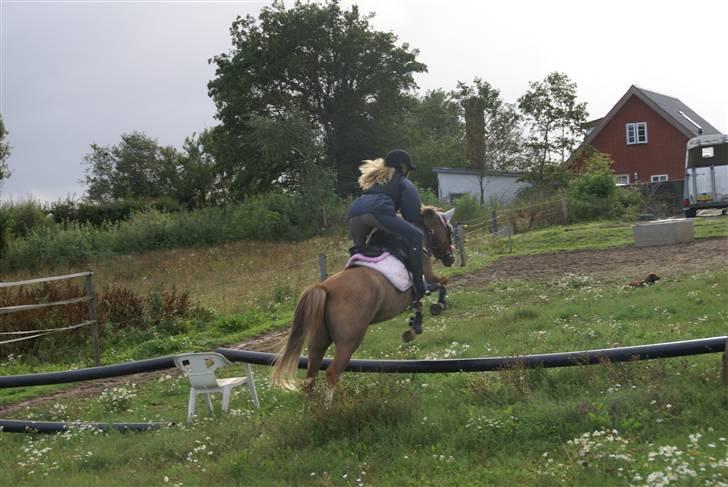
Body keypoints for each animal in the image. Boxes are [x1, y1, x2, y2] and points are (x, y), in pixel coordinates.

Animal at [272, 206, 456, 400]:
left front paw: (414, 327)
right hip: (349, 340)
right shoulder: (426, 280)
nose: (451, 258)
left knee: (310, 377)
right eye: (449, 231)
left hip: (318, 339)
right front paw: (438, 306)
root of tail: (323, 287)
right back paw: (328, 406)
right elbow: (442, 283)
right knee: (332, 373)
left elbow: (420, 304)